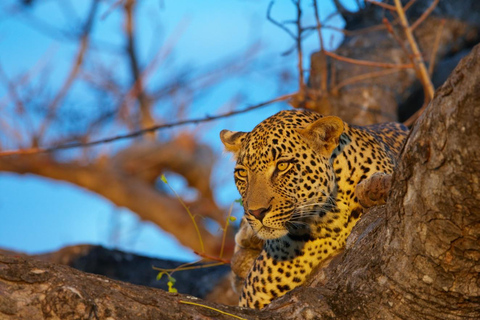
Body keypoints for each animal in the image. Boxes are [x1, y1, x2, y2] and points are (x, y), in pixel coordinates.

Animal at [219, 109, 406, 308]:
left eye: (282, 165)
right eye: (242, 173)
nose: (256, 212)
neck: (327, 217)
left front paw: (374, 189)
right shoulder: (252, 299)